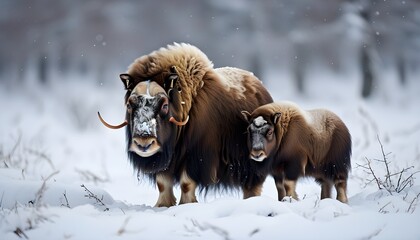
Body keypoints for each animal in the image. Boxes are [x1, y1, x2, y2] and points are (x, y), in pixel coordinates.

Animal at [98, 42, 272, 206]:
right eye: (129, 104)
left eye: (164, 105)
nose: (143, 143)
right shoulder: (165, 160)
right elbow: (162, 183)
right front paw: (163, 205)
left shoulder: (195, 158)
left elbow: (186, 183)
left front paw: (186, 204)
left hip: (253, 165)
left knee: (252, 185)